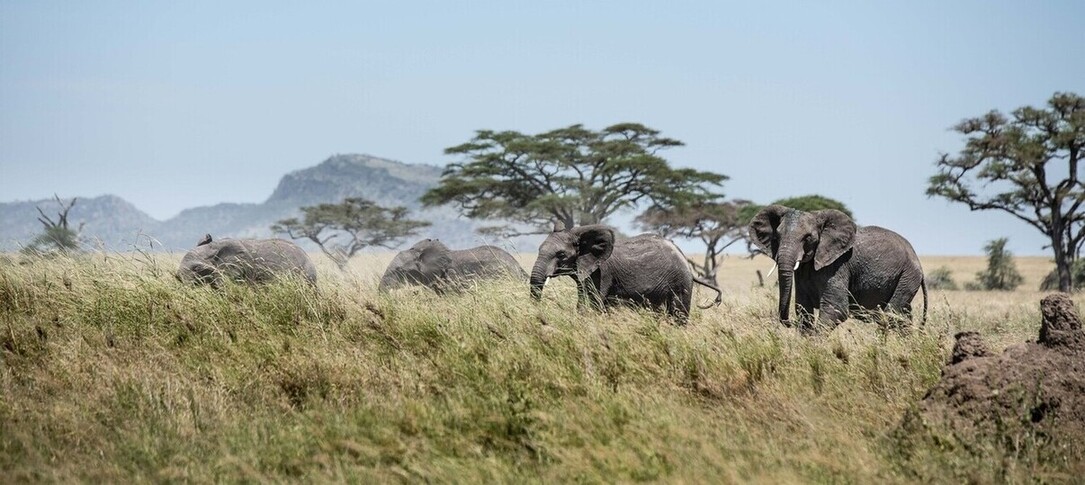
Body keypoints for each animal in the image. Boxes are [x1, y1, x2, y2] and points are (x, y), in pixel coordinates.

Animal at [529, 224, 722, 325]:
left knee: (678, 316)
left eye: (561, 255)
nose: (539, 315)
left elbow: (590, 304)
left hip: (680, 283)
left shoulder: (602, 273)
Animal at [748, 205, 927, 331]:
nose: (788, 323)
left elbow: (836, 309)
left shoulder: (838, 265)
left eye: (808, 238)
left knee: (892, 313)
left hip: (908, 275)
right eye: (777, 236)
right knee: (903, 317)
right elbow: (803, 308)